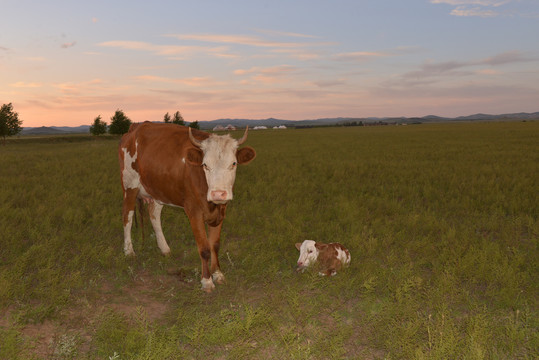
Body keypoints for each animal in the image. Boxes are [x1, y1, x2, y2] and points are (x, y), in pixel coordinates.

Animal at [119, 122, 258, 292]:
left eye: (233, 163)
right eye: (205, 165)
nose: (218, 194)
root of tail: (135, 128)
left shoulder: (221, 210)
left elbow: (215, 245)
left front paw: (218, 274)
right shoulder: (193, 211)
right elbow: (204, 248)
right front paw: (207, 281)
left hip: (158, 190)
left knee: (154, 215)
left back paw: (164, 249)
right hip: (129, 185)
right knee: (127, 216)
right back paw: (129, 251)